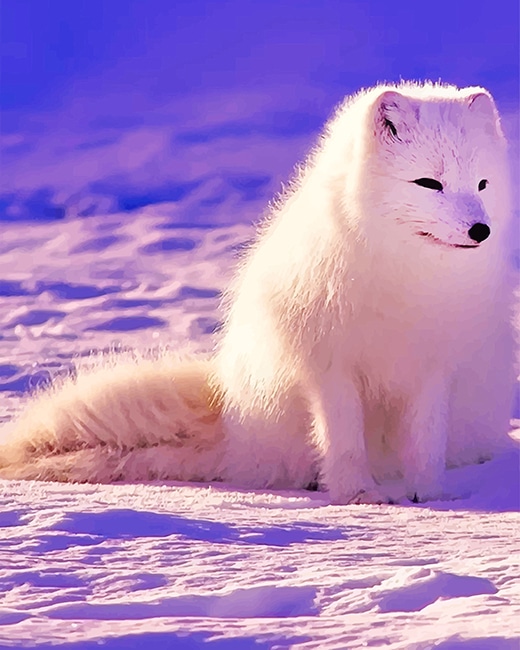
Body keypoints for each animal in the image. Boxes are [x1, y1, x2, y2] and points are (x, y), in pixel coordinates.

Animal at [0, 81, 515, 504]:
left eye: (482, 184)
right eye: (429, 183)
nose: (480, 230)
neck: (406, 277)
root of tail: (234, 426)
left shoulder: (434, 368)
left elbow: (426, 443)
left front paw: (431, 497)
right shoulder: (330, 366)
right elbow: (344, 441)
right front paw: (359, 496)